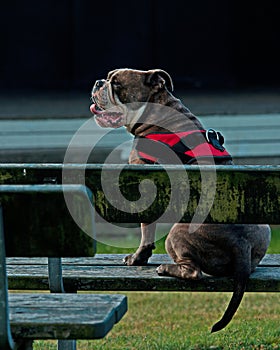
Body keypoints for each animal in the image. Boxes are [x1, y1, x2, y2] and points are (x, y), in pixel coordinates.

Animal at [90, 67, 272, 330]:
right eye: (108, 78)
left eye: (116, 83)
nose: (98, 82)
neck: (160, 110)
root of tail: (242, 243)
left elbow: (145, 232)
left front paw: (137, 258)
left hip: (178, 233)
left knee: (193, 271)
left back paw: (166, 268)